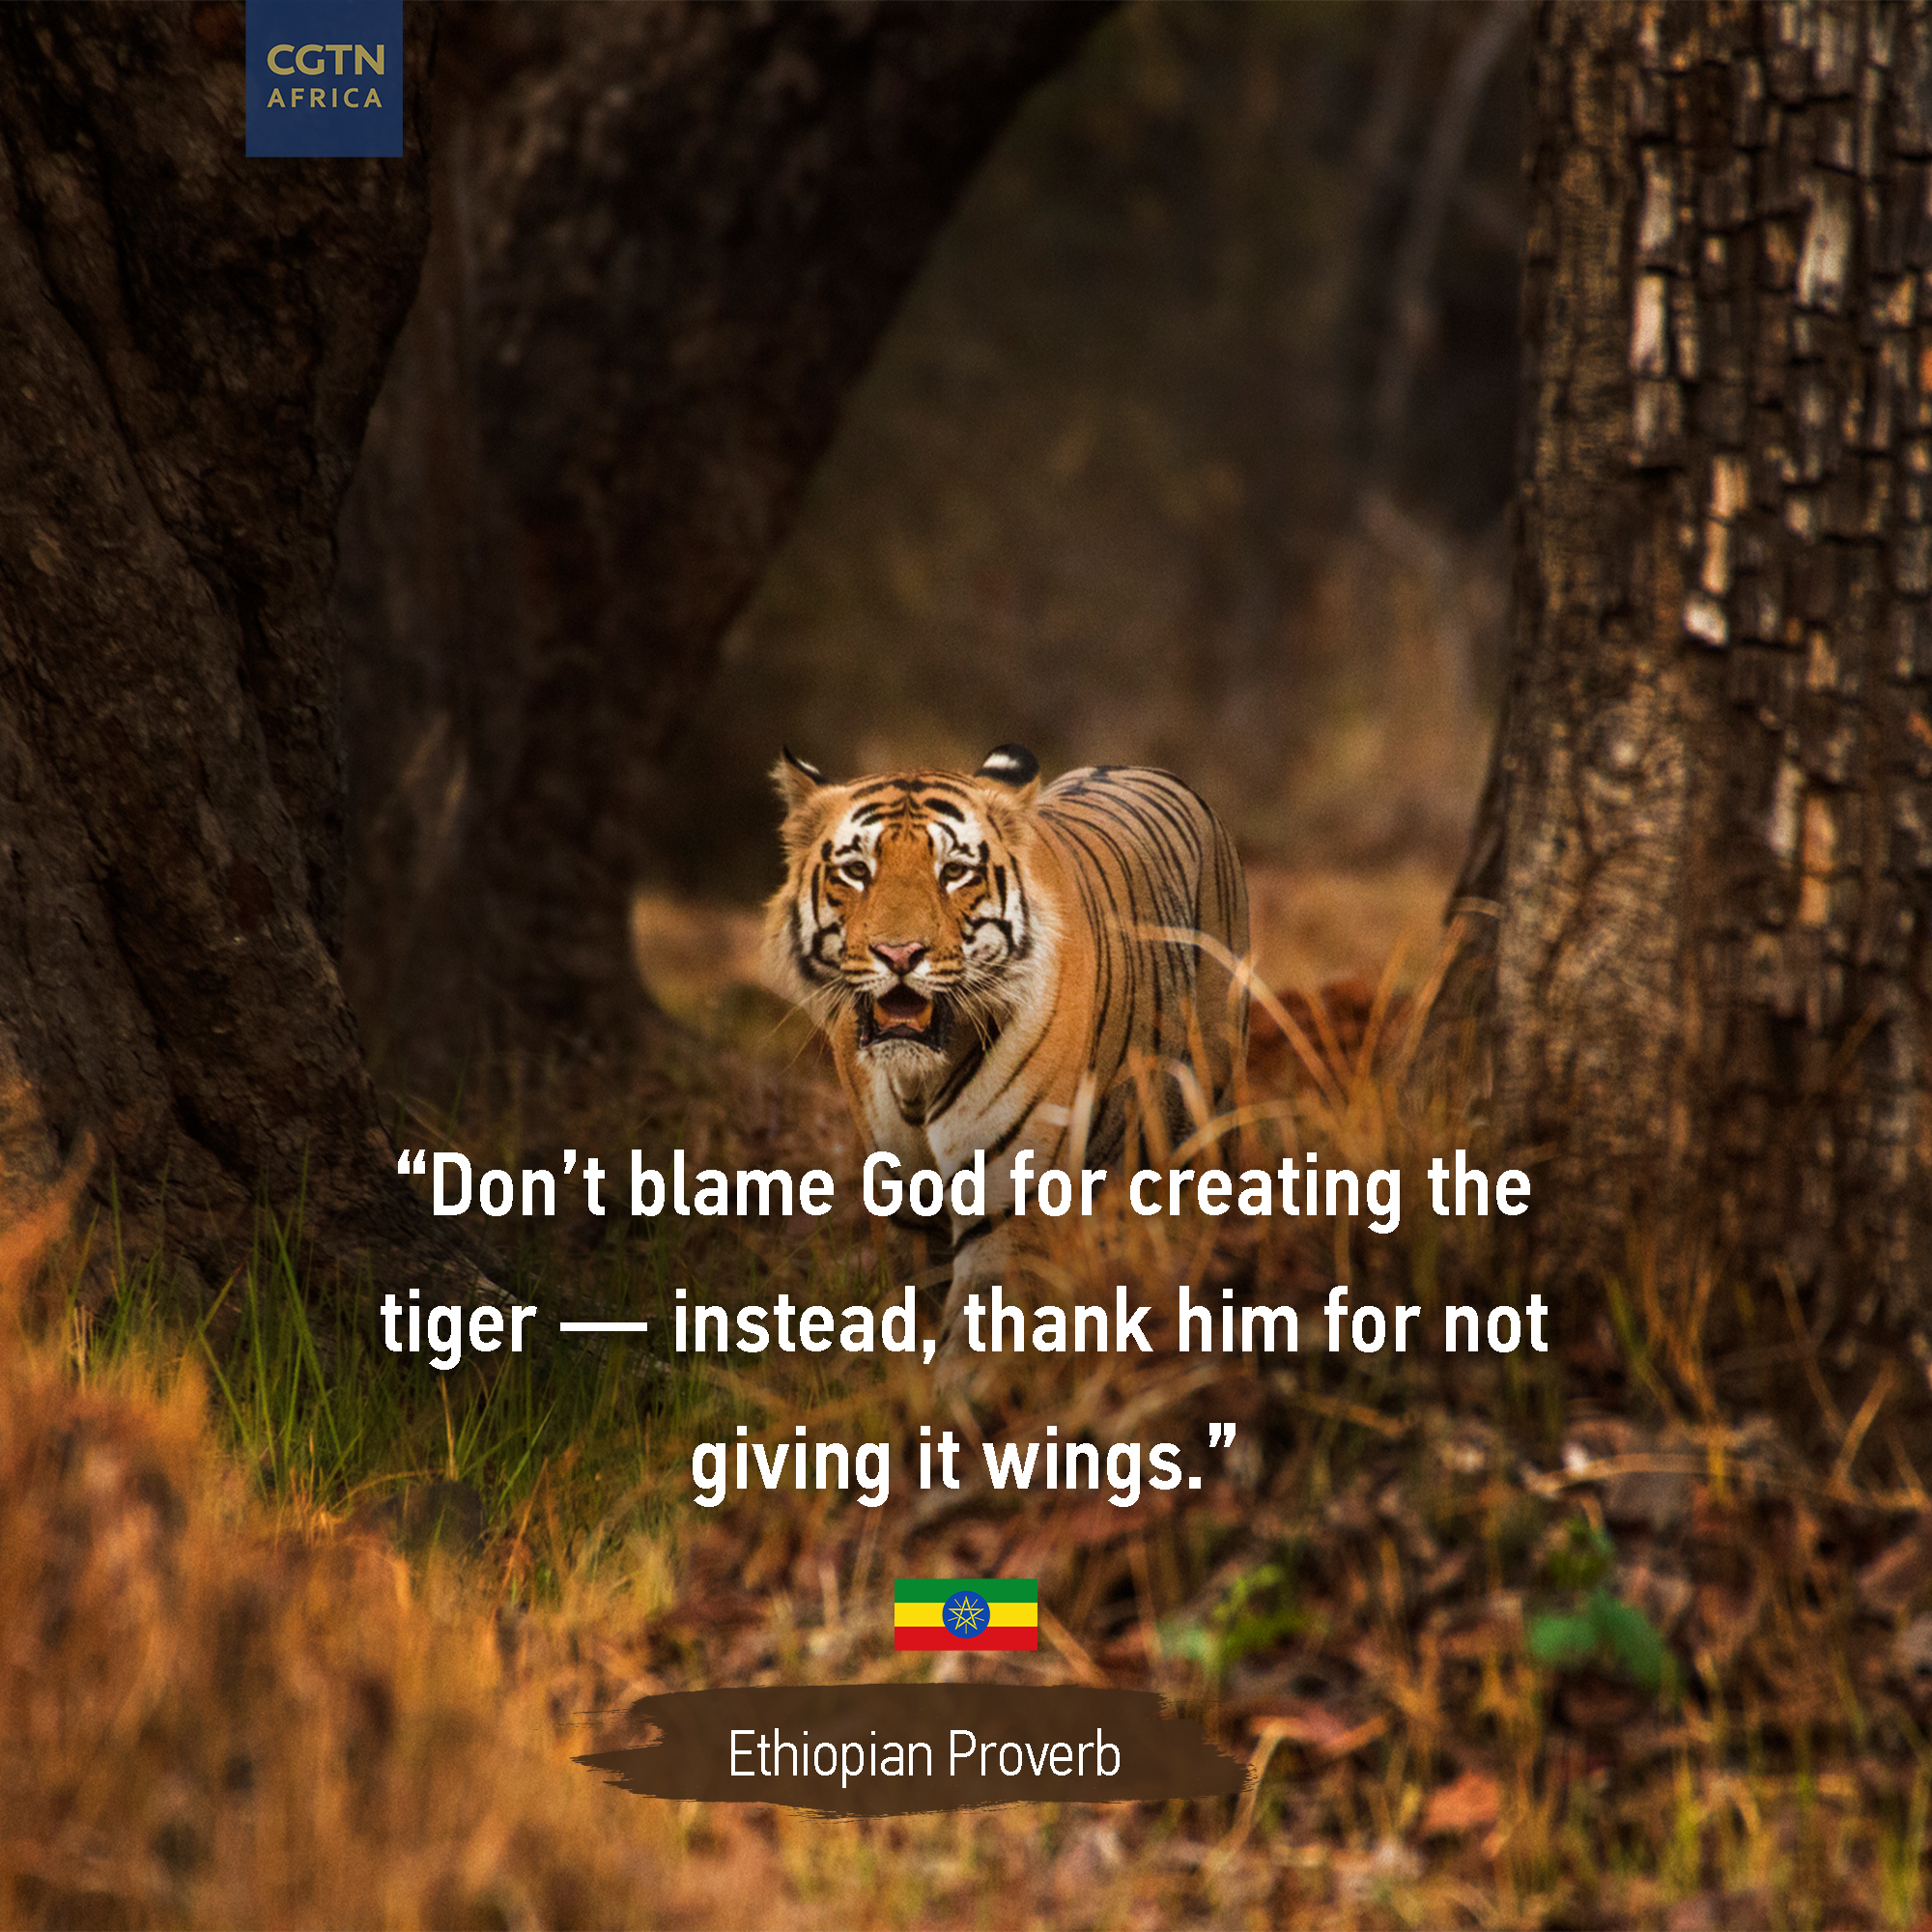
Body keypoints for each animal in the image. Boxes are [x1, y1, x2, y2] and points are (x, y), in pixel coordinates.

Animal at [762, 743, 1250, 1348]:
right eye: (856, 871)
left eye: (953, 872)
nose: (899, 953)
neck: (916, 1081)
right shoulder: (907, 1217)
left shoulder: (1008, 1209)